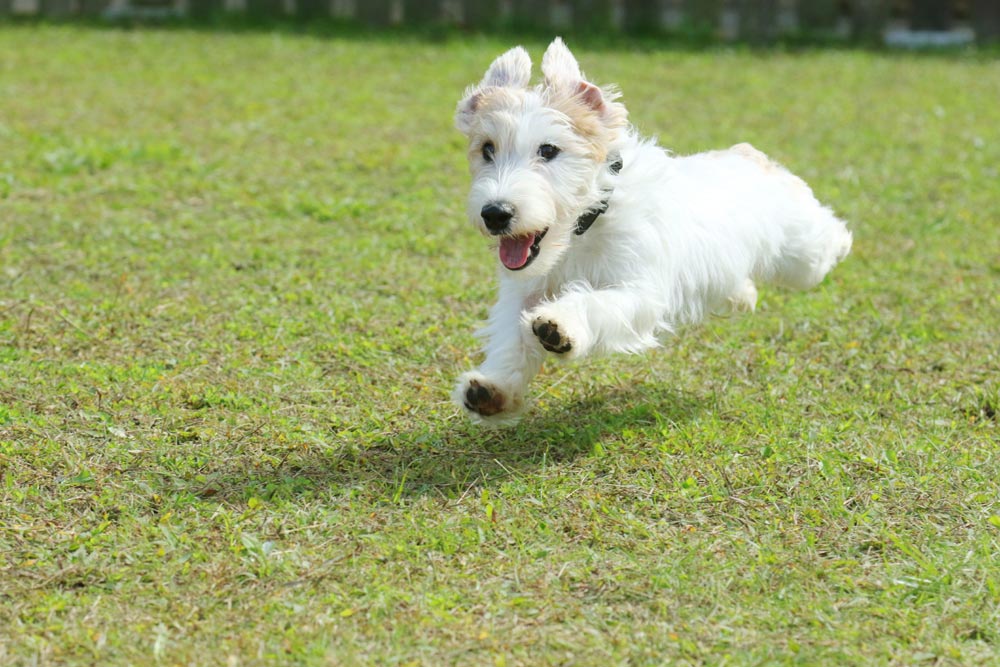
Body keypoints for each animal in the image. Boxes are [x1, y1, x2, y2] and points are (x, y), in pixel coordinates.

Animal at [454, 39, 852, 428]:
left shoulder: (640, 291)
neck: (585, 228)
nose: (495, 213)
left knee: (825, 240)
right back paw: (742, 296)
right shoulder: (522, 291)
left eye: (548, 150)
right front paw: (492, 391)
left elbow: (593, 303)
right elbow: (510, 340)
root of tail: (748, 155)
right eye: (487, 149)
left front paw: (559, 325)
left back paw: (842, 239)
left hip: (802, 255)